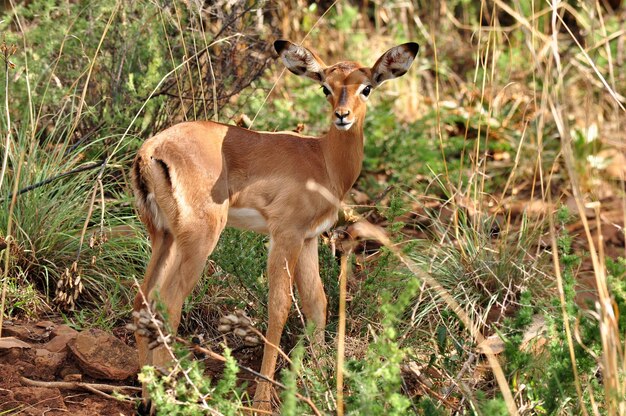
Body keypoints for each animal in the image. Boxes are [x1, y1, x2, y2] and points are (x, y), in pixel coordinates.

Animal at [129, 39, 416, 412]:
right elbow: (279, 308)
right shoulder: (285, 236)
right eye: (326, 87)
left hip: (163, 236)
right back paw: (174, 395)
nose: (342, 116)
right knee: (169, 301)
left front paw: (317, 383)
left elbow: (317, 303)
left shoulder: (308, 239)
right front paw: (263, 400)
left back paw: (148, 395)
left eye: (366, 87)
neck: (324, 161)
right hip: (199, 238)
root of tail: (151, 150)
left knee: (143, 301)